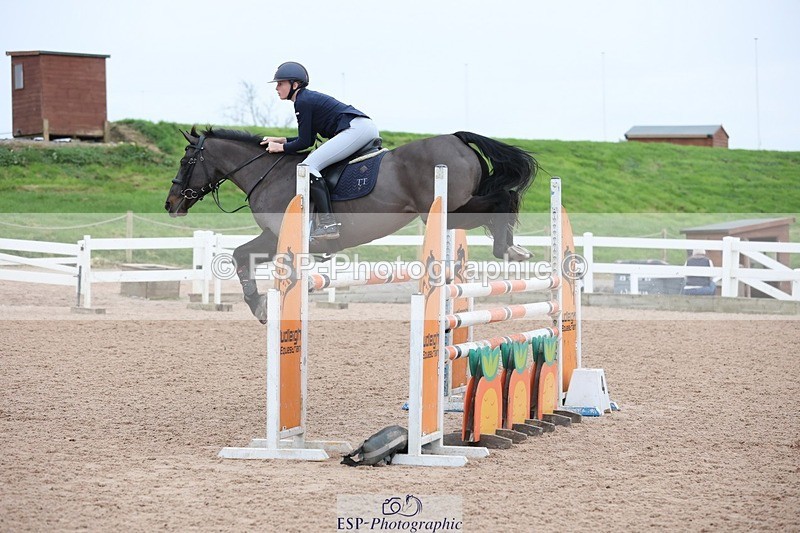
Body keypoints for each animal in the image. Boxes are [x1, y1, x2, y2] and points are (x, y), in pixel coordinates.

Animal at [165, 126, 537, 322]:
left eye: (186, 161)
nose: (170, 205)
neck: (266, 174)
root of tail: (457, 139)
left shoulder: (281, 236)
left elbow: (244, 257)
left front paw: (261, 304)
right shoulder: (272, 237)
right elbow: (240, 255)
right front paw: (259, 306)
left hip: (452, 207)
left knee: (503, 200)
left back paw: (509, 248)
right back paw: (514, 248)